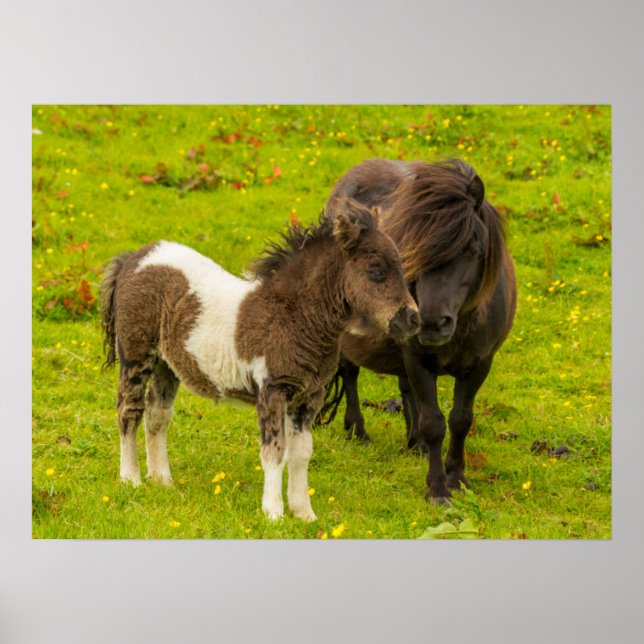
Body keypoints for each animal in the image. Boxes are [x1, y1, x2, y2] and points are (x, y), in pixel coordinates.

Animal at [100, 198, 420, 521]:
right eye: (376, 271)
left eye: (400, 266)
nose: (412, 319)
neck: (294, 316)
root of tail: (132, 259)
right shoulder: (272, 390)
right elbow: (274, 451)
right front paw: (274, 513)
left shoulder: (310, 396)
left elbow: (301, 453)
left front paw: (304, 513)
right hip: (136, 355)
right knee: (129, 411)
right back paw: (131, 479)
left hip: (167, 366)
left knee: (157, 415)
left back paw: (162, 480)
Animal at [323, 158, 517, 505]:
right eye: (414, 250)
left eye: (473, 248)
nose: (431, 323)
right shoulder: (418, 359)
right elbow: (434, 422)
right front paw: (437, 488)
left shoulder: (479, 365)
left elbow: (460, 420)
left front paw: (458, 478)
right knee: (349, 373)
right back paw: (358, 431)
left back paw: (415, 444)